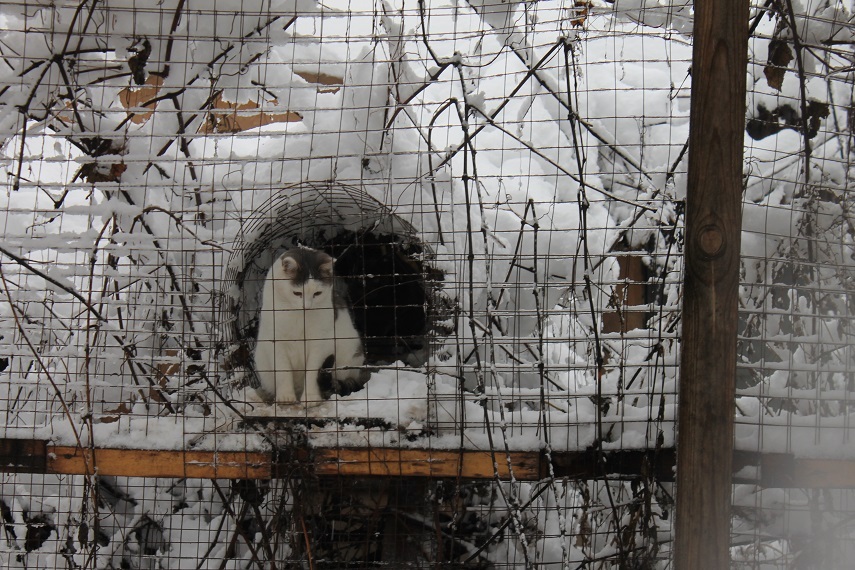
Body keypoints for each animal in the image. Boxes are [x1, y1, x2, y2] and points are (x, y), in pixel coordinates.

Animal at [251, 245, 364, 404]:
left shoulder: (319, 344)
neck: (300, 317)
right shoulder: (277, 342)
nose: (307, 306)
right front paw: (285, 397)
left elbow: (312, 373)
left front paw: (311, 398)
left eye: (317, 293)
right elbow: (283, 371)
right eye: (297, 293)